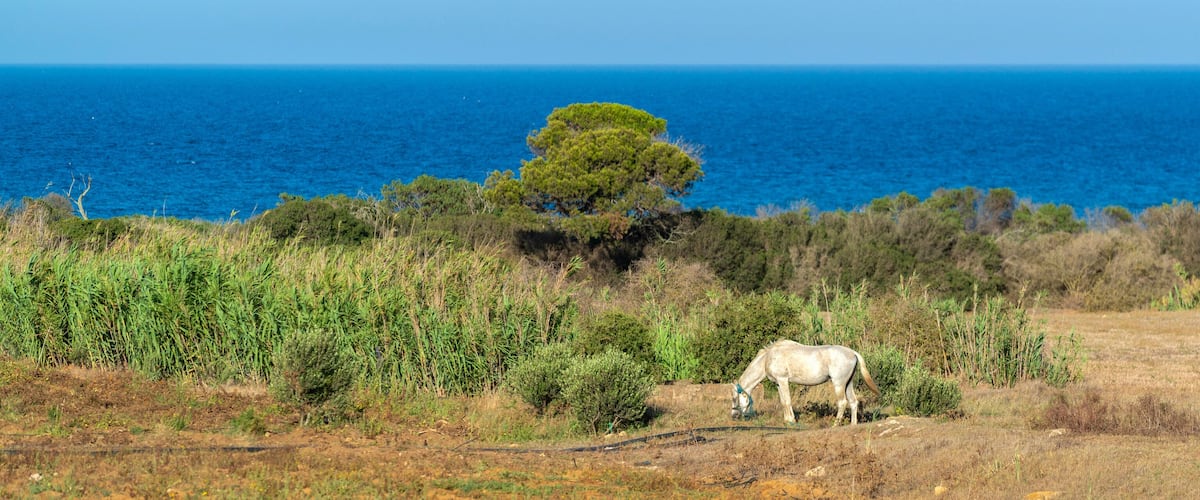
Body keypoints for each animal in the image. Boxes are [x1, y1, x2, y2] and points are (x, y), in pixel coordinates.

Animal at [731, 339, 880, 425]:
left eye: (734, 398)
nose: (733, 416)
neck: (768, 358)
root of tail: (853, 353)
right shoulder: (778, 383)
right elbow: (783, 402)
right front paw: (787, 420)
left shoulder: (783, 380)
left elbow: (787, 401)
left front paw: (791, 421)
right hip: (848, 383)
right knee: (853, 402)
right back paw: (853, 424)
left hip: (838, 384)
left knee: (842, 402)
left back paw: (835, 424)